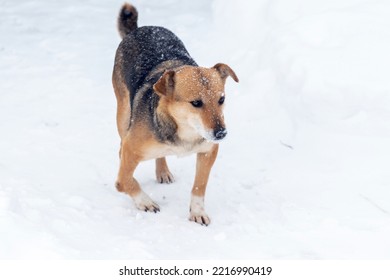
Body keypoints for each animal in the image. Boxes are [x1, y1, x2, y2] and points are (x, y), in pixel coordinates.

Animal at [110, 2, 238, 225]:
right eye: (196, 103)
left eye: (221, 99)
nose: (221, 134)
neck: (185, 130)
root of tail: (138, 29)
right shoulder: (131, 149)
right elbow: (124, 181)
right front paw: (144, 202)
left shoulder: (208, 151)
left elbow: (199, 186)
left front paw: (197, 211)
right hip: (123, 113)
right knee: (121, 143)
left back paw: (162, 170)